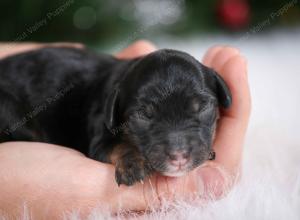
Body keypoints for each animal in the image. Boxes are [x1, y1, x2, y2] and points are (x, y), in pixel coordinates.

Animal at [0, 47, 232, 186]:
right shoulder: (99, 136)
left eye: (202, 107)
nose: (179, 156)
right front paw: (134, 164)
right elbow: (119, 145)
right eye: (143, 115)